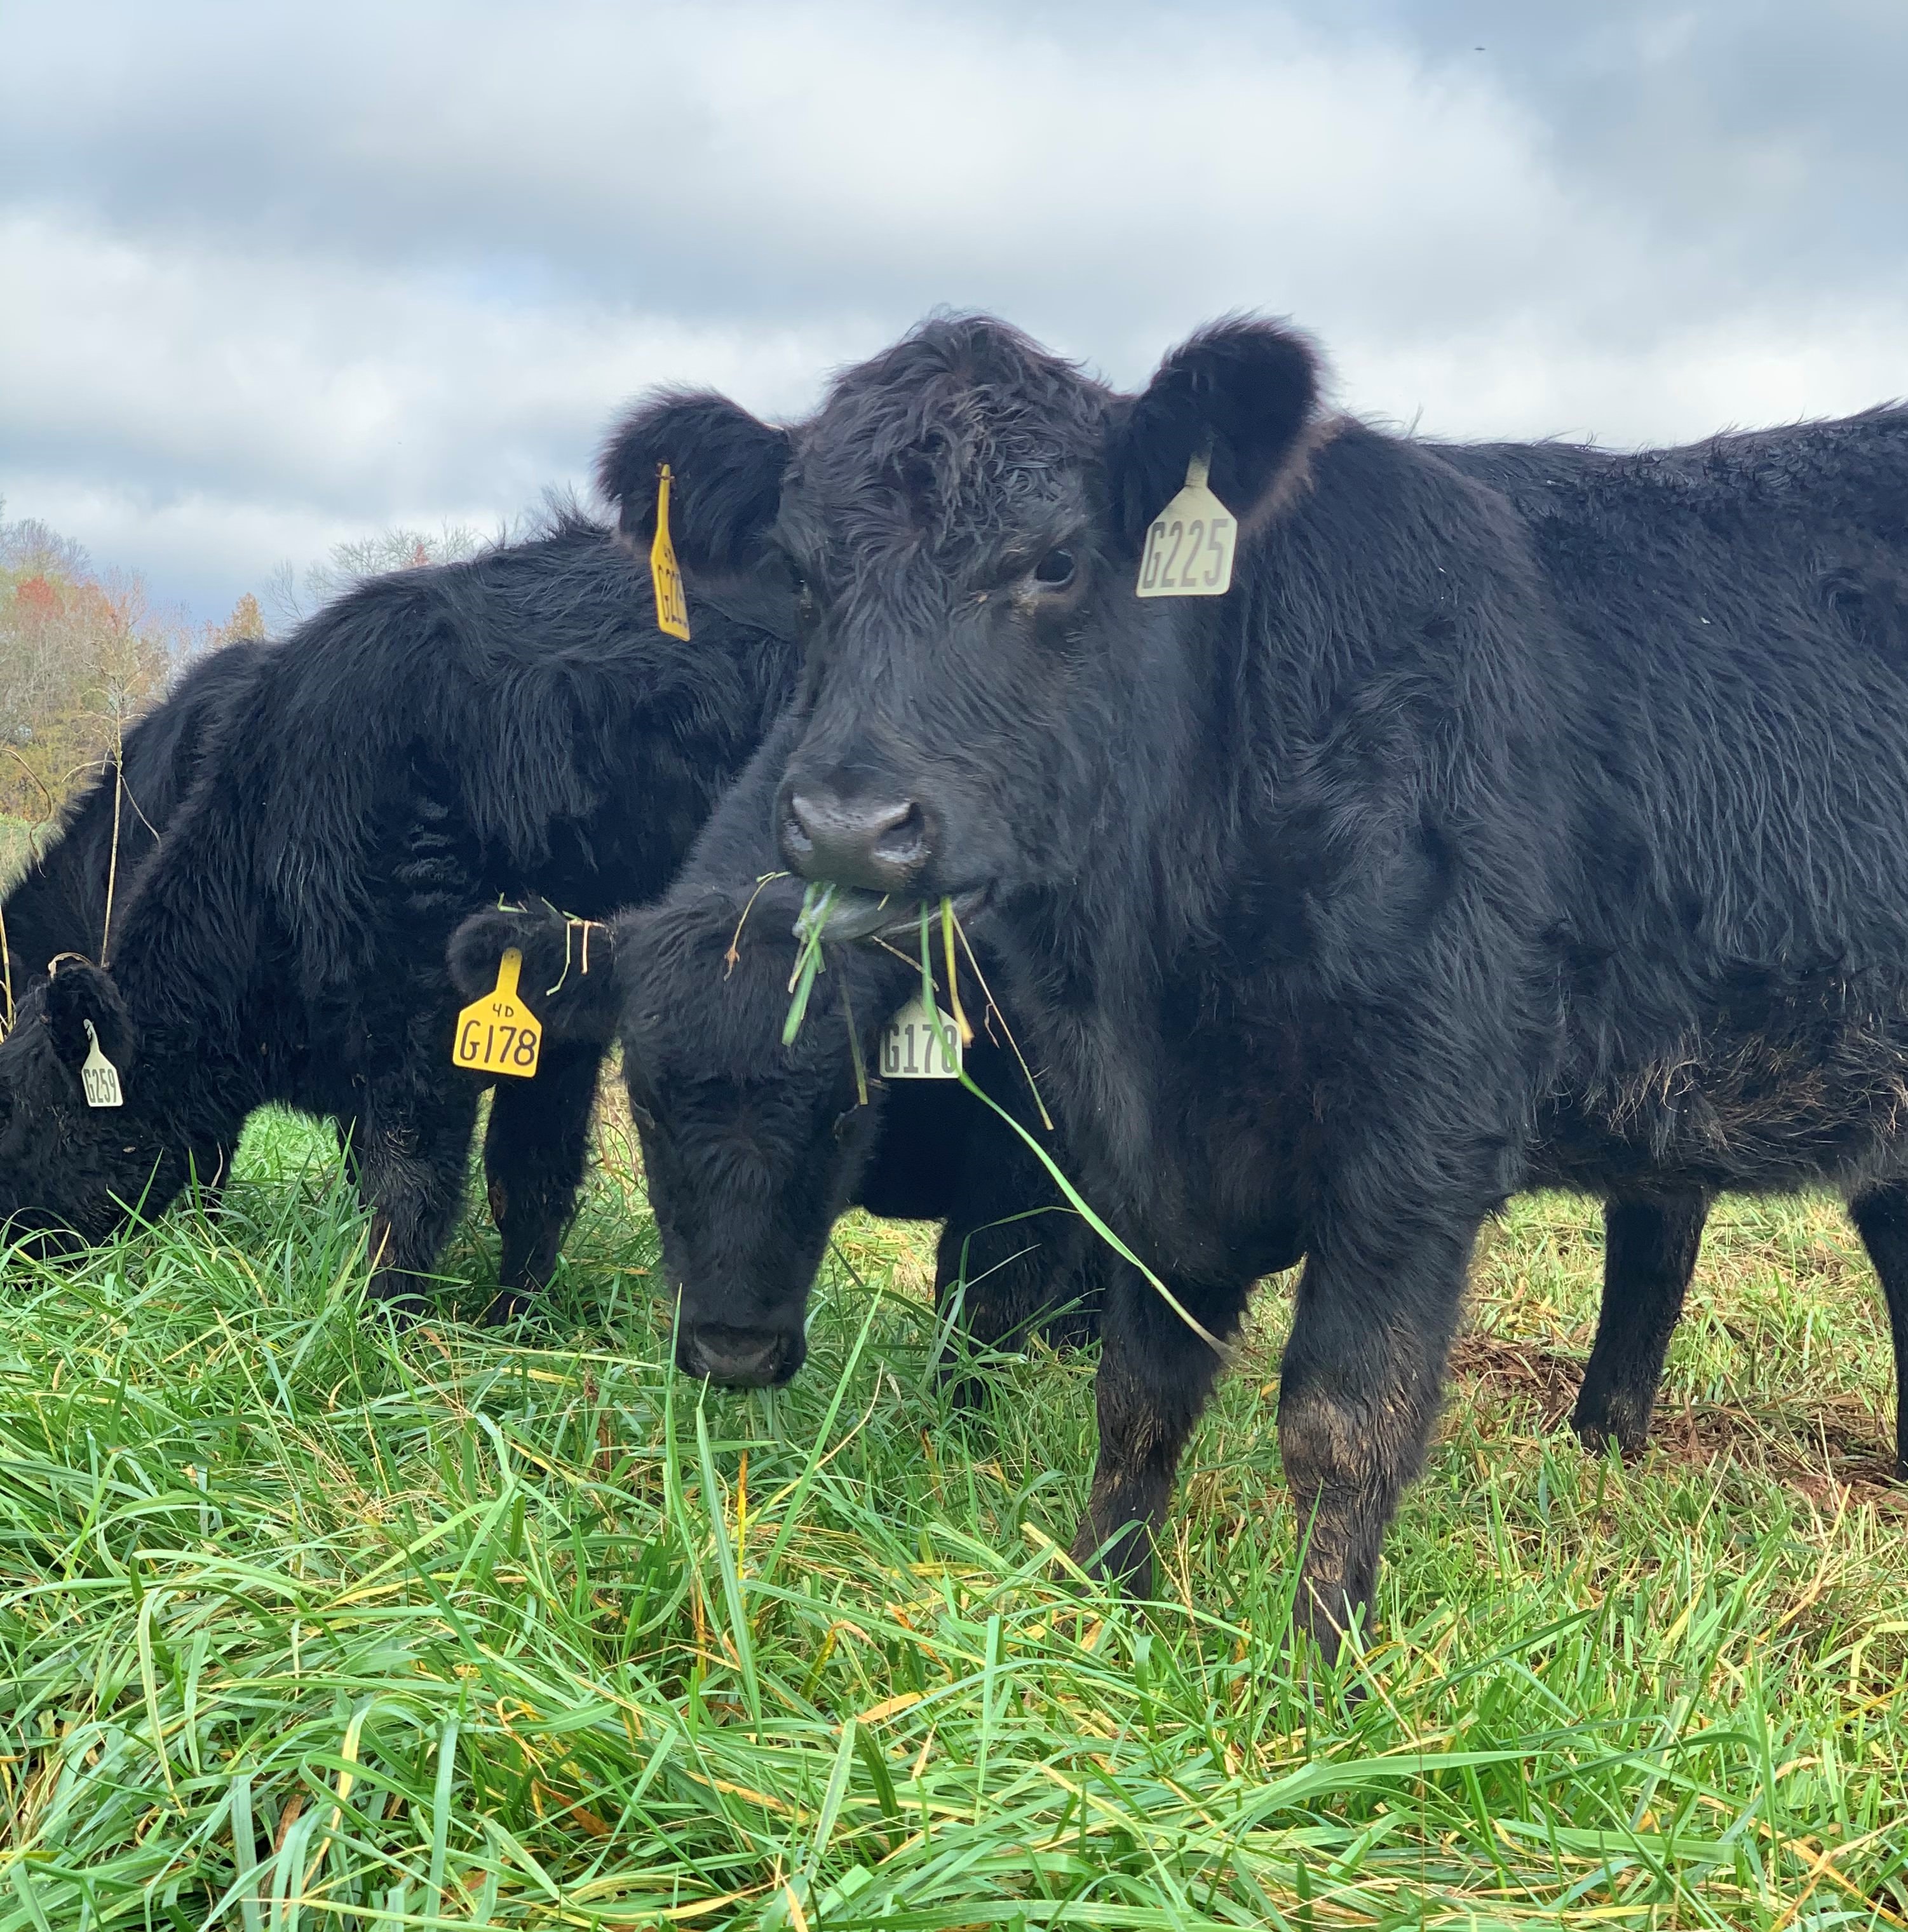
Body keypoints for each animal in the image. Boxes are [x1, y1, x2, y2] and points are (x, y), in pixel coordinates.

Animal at [562, 313, 1908, 1653]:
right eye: (800, 573)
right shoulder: (1141, 1158)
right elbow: (1138, 1394)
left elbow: (1341, 1425)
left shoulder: (1416, 1144)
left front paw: (1317, 1667)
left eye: (1056, 562)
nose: (849, 824)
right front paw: (1107, 1608)